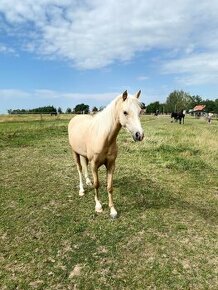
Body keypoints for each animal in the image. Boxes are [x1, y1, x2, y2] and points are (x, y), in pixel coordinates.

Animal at [67, 90, 143, 218]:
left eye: (140, 111)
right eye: (125, 112)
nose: (139, 135)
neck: (103, 137)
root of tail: (75, 118)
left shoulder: (111, 165)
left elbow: (110, 186)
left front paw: (112, 210)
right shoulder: (94, 165)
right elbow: (97, 184)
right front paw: (98, 206)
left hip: (83, 154)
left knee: (84, 166)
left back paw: (88, 181)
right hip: (74, 152)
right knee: (79, 169)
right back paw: (81, 190)